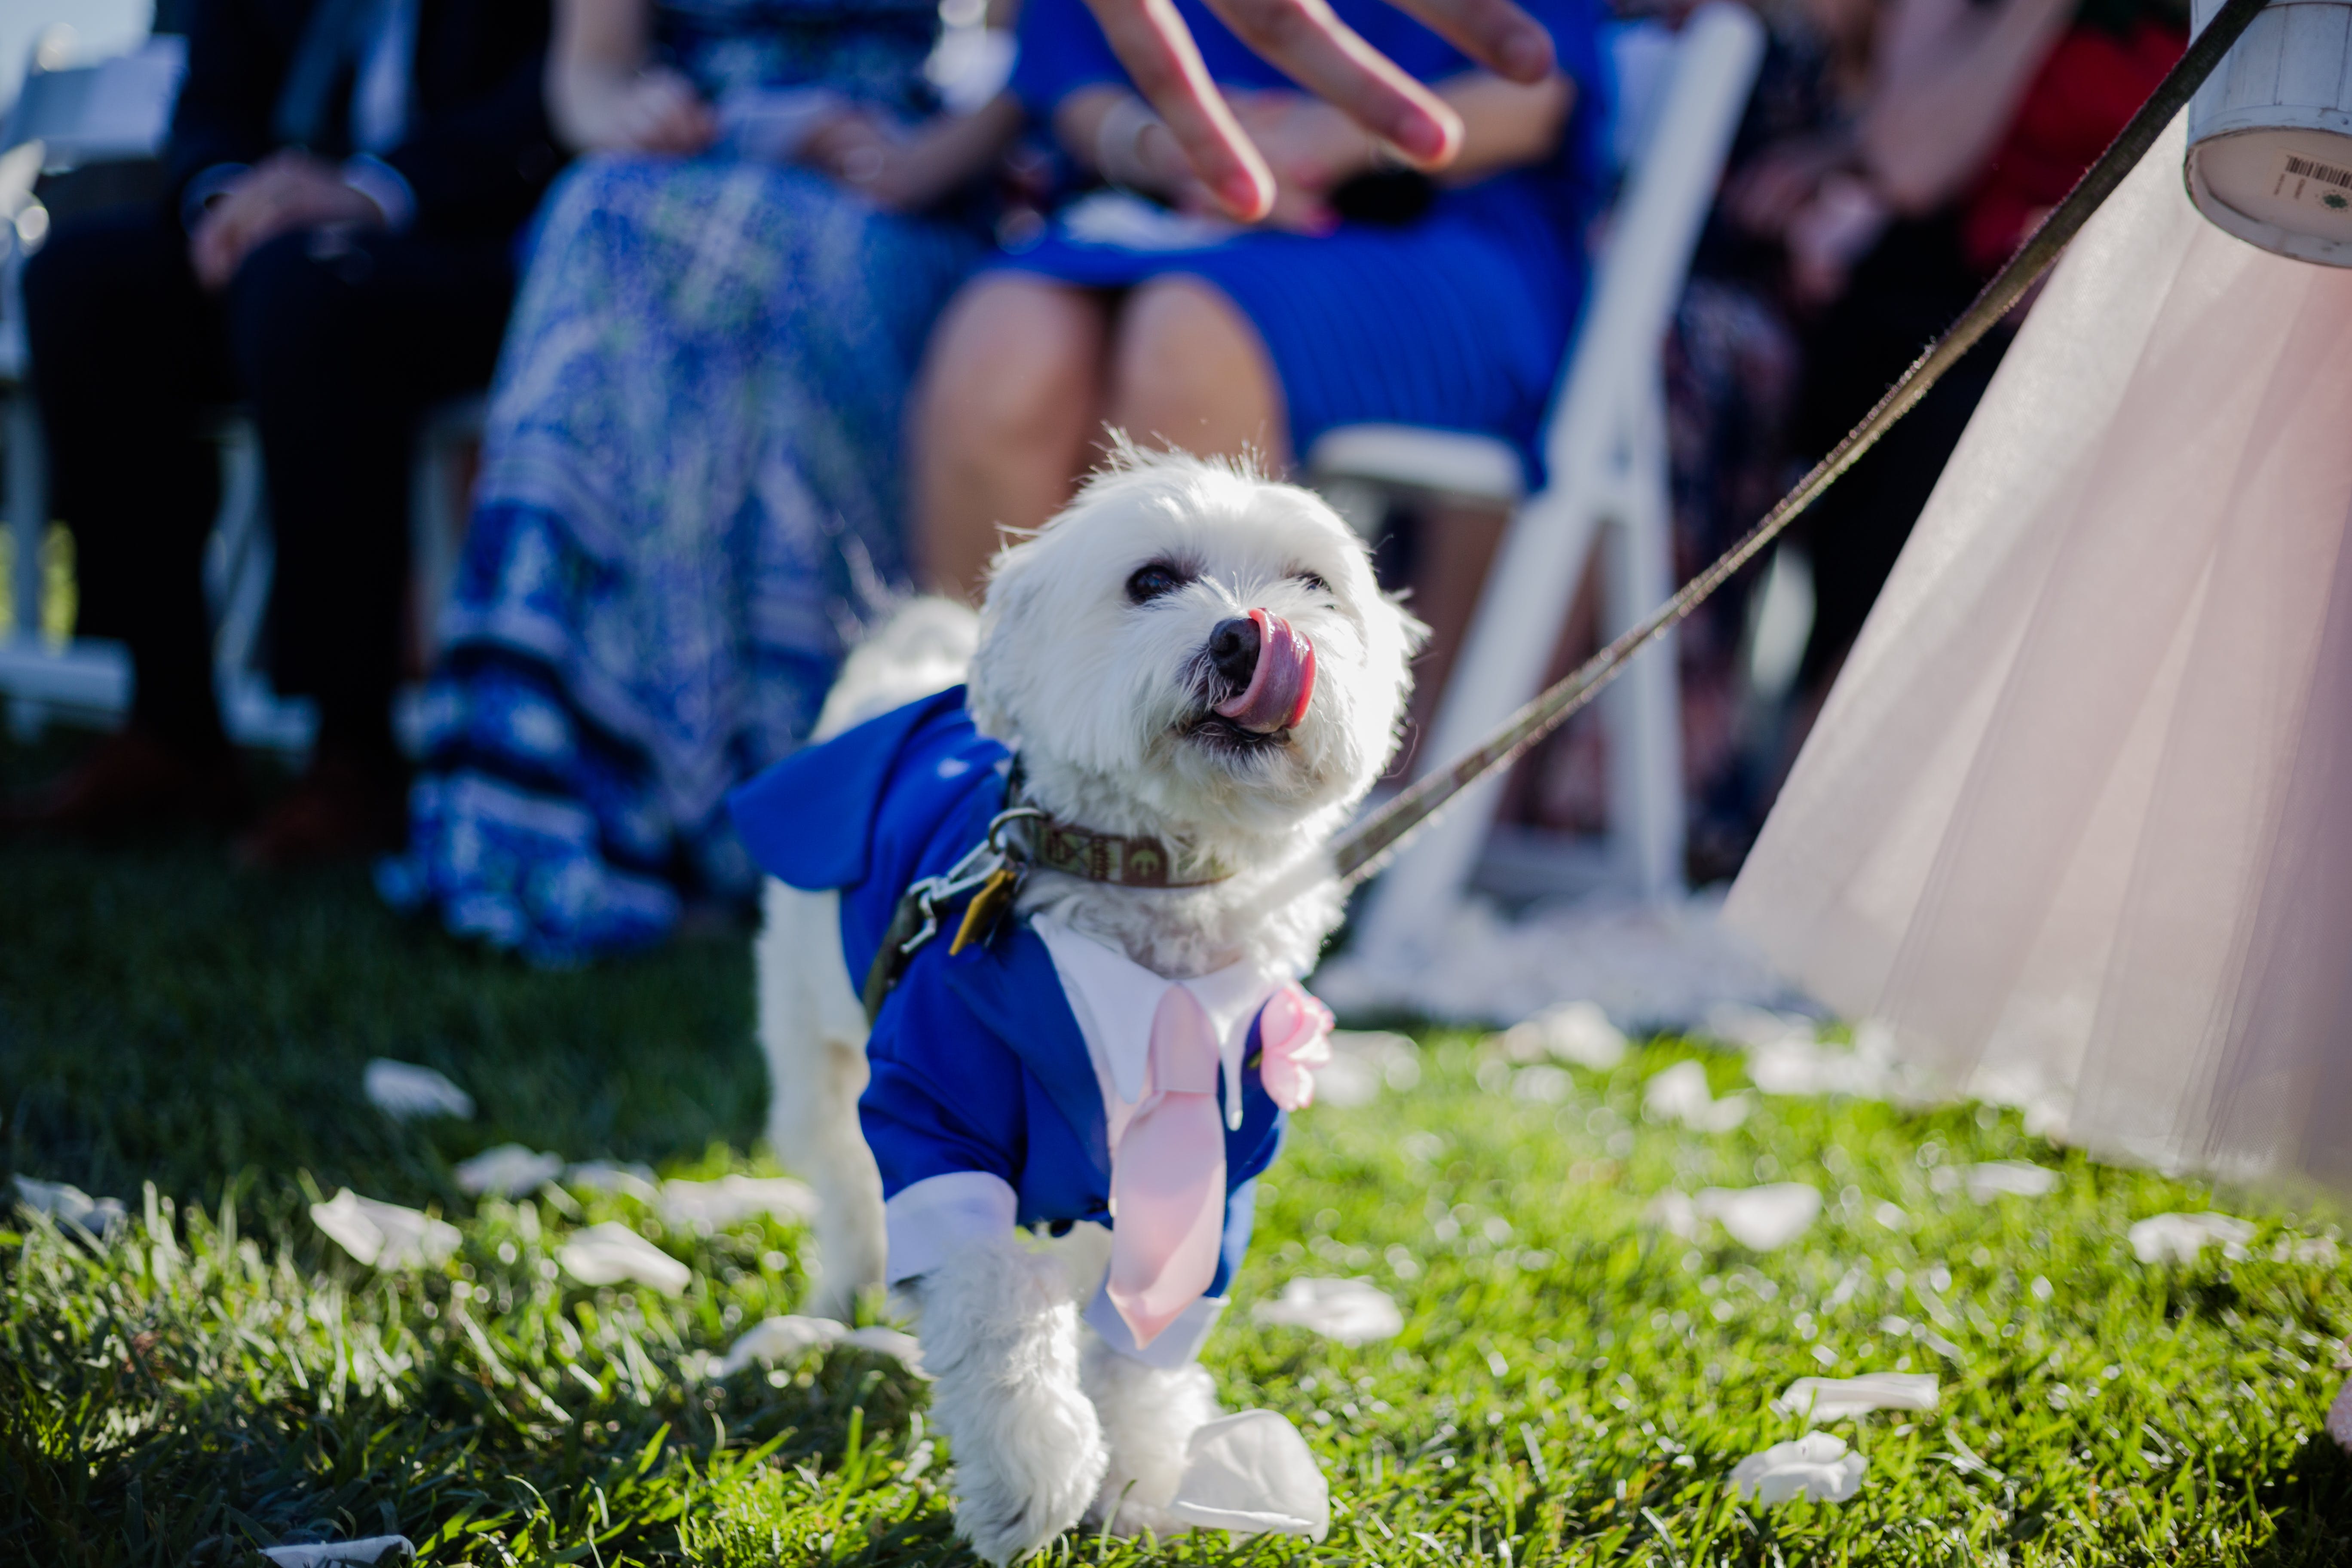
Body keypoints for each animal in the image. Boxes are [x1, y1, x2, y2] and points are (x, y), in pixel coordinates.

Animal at [748, 447, 1411, 1561]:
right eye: (1151, 581)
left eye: (1313, 586)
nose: (1246, 634)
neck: (1150, 886)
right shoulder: (932, 1113)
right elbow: (995, 1304)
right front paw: (1031, 1480)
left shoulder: (1213, 1179)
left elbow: (1140, 1344)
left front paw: (1136, 1480)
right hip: (815, 1039)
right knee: (843, 1176)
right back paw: (845, 1297)